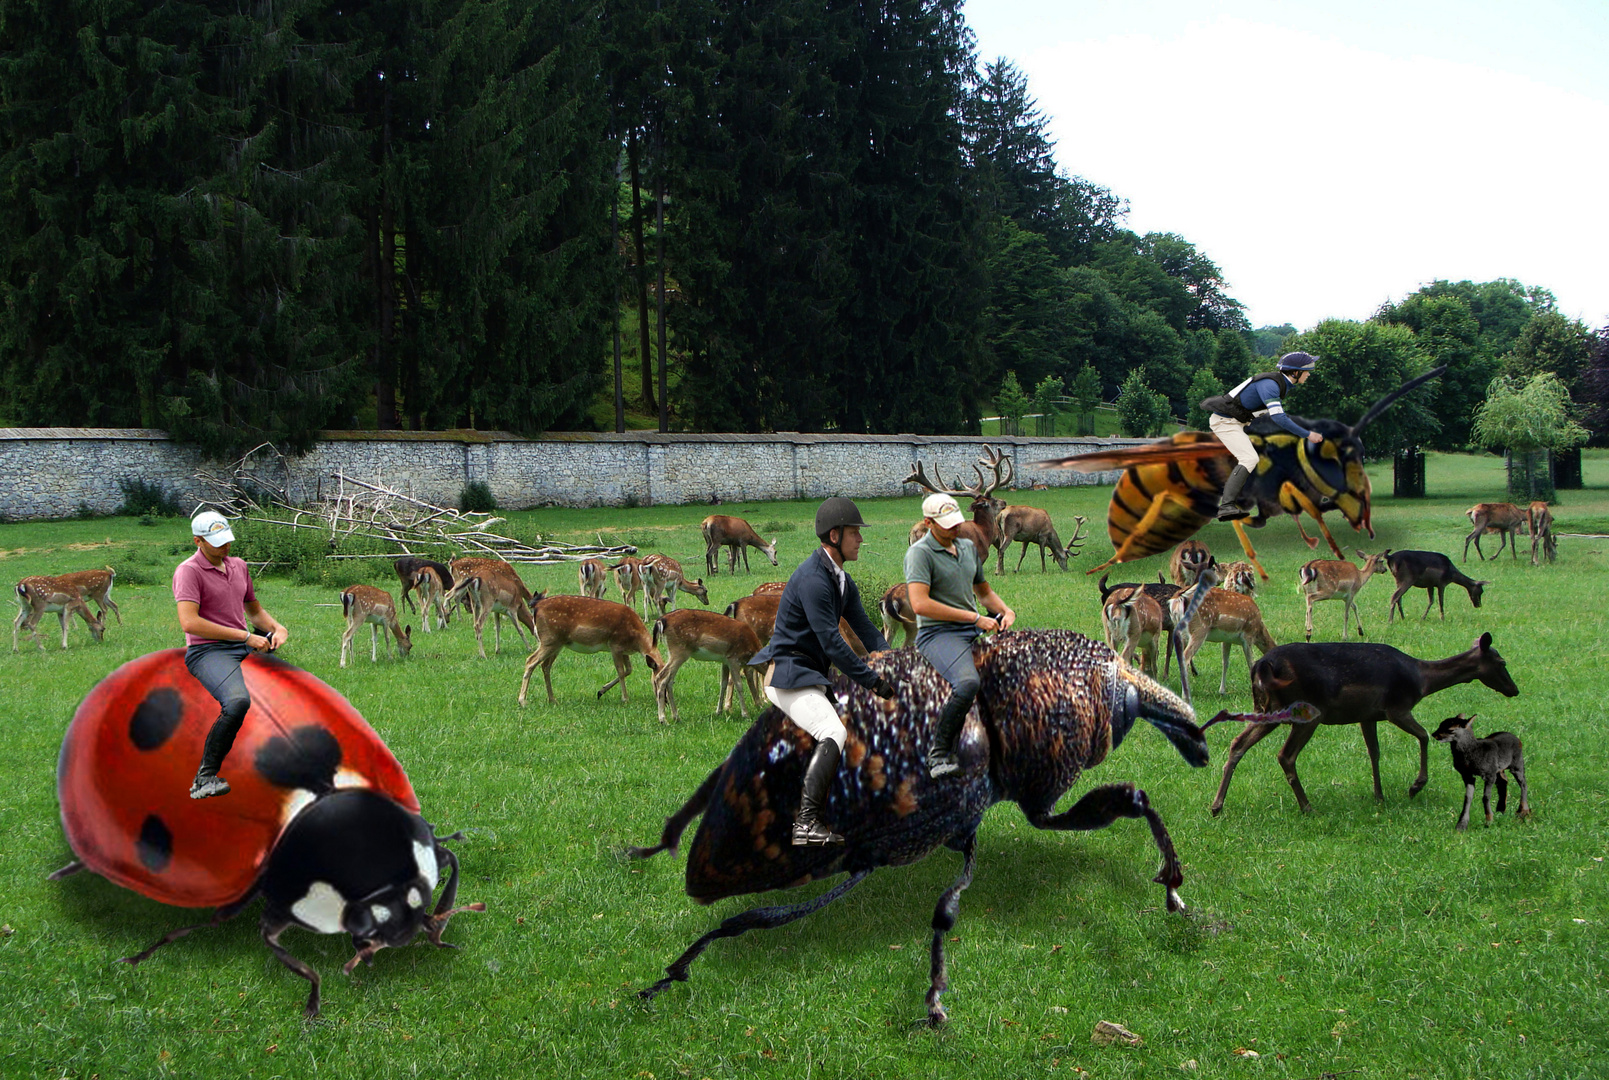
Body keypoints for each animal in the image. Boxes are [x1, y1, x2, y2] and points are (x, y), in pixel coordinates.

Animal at [518, 595, 662, 704]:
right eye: (656, 681)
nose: (662, 699)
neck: (636, 640)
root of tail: (537, 606)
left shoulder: (623, 650)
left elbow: (629, 670)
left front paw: (601, 691)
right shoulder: (615, 645)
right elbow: (621, 671)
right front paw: (625, 698)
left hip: (557, 644)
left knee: (545, 666)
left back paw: (552, 699)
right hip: (549, 639)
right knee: (530, 661)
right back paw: (522, 700)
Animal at [1209, 630, 1518, 814]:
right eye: (1502, 662)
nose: (1514, 690)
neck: (1422, 679)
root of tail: (1262, 666)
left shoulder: (1368, 715)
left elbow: (1374, 752)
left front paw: (1379, 796)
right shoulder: (1397, 707)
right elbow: (1424, 736)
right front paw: (1415, 786)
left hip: (1266, 708)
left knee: (1238, 743)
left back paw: (1216, 805)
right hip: (1308, 712)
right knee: (1285, 755)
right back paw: (1307, 806)